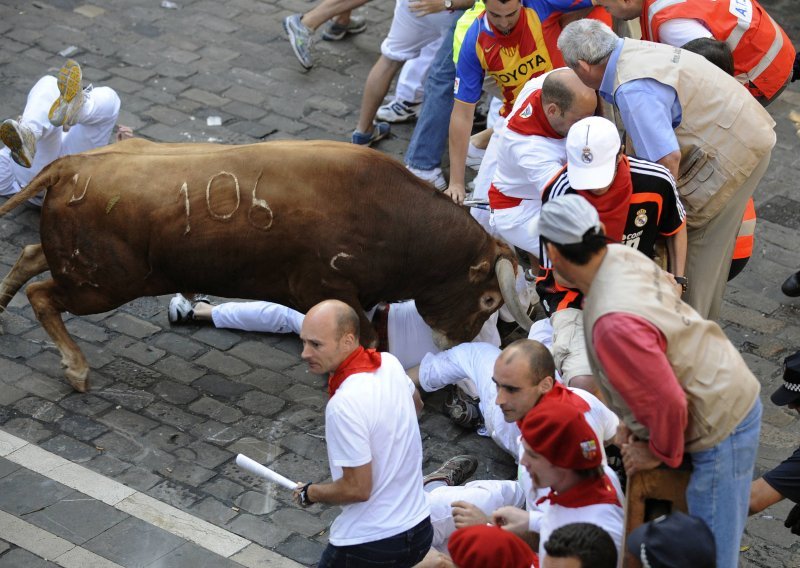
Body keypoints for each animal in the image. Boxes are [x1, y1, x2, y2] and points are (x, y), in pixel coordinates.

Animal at [0, 140, 532, 392]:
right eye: (489, 297)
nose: (458, 343)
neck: (392, 216)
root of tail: (70, 166)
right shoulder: (326, 287)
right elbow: (369, 338)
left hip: (80, 268)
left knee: (28, 258)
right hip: (101, 284)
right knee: (41, 293)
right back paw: (76, 369)